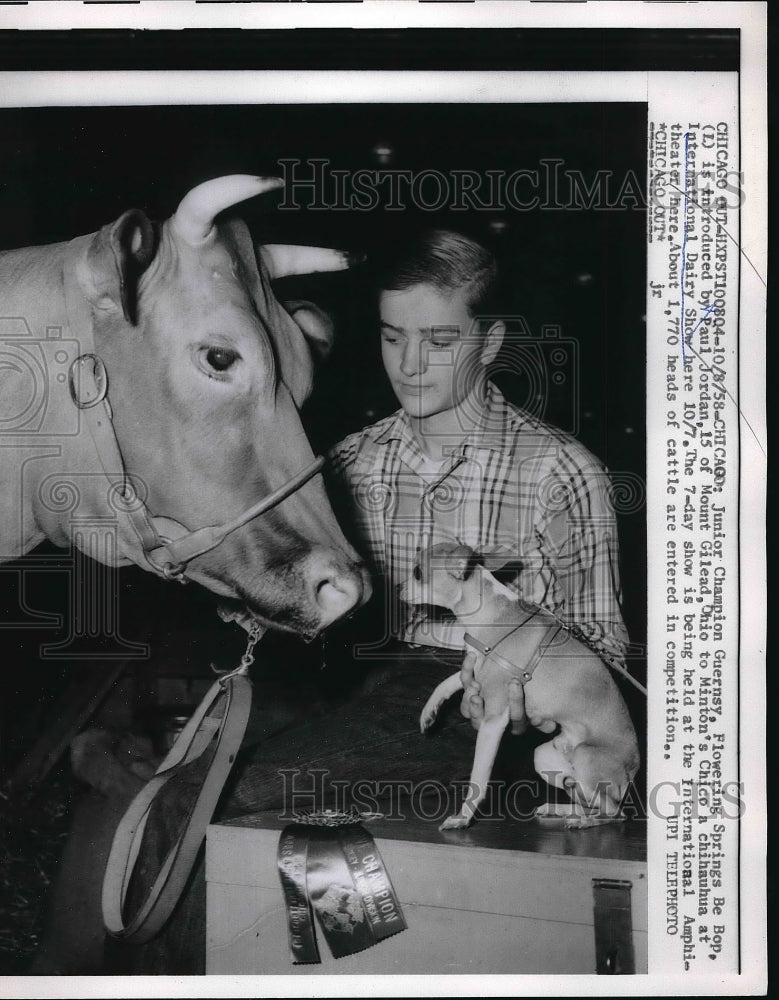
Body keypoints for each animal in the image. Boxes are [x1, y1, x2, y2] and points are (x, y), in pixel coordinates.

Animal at [402, 544, 640, 832]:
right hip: (546, 758)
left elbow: (478, 778)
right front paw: (429, 712)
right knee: (589, 800)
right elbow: (448, 681)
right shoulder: (477, 668)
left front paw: (463, 817)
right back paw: (561, 810)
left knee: (615, 812)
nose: (399, 588)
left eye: (417, 572)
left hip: (586, 758)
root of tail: (634, 769)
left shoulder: (493, 720)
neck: (493, 616)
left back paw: (582, 821)